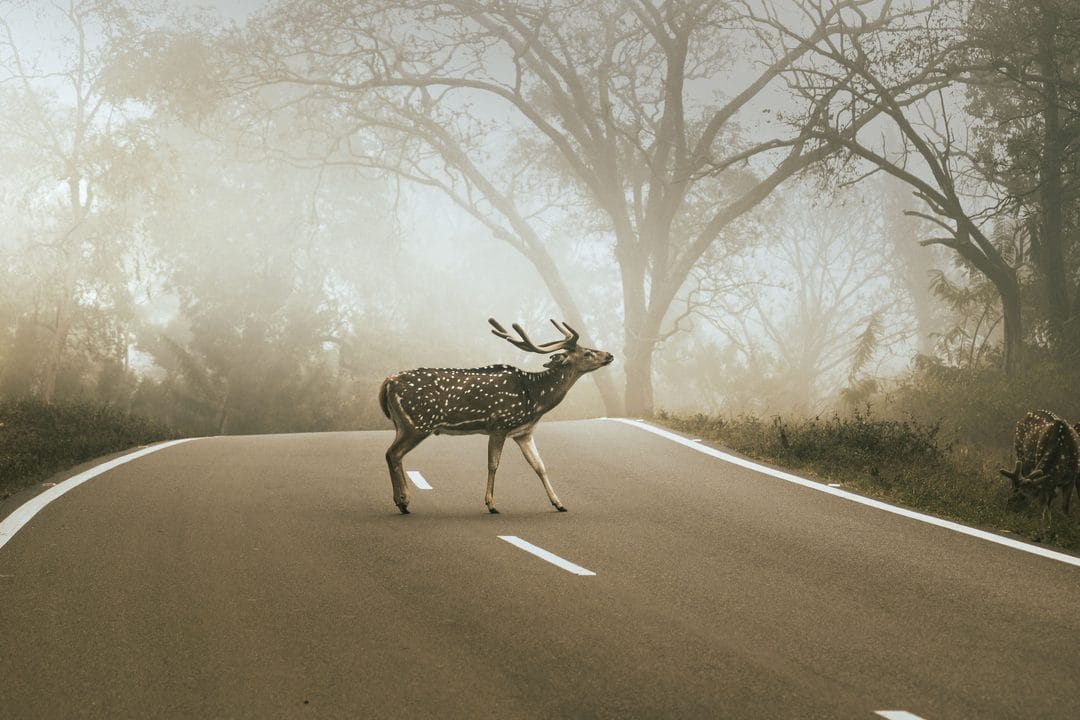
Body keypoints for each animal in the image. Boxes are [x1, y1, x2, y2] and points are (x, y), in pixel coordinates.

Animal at [378, 318, 613, 514]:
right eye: (587, 353)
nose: (610, 355)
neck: (534, 397)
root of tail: (387, 383)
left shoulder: (523, 432)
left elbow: (539, 465)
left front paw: (559, 503)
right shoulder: (500, 424)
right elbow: (493, 464)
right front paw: (491, 504)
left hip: (403, 424)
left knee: (390, 454)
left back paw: (400, 501)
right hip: (418, 423)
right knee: (394, 453)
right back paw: (404, 501)